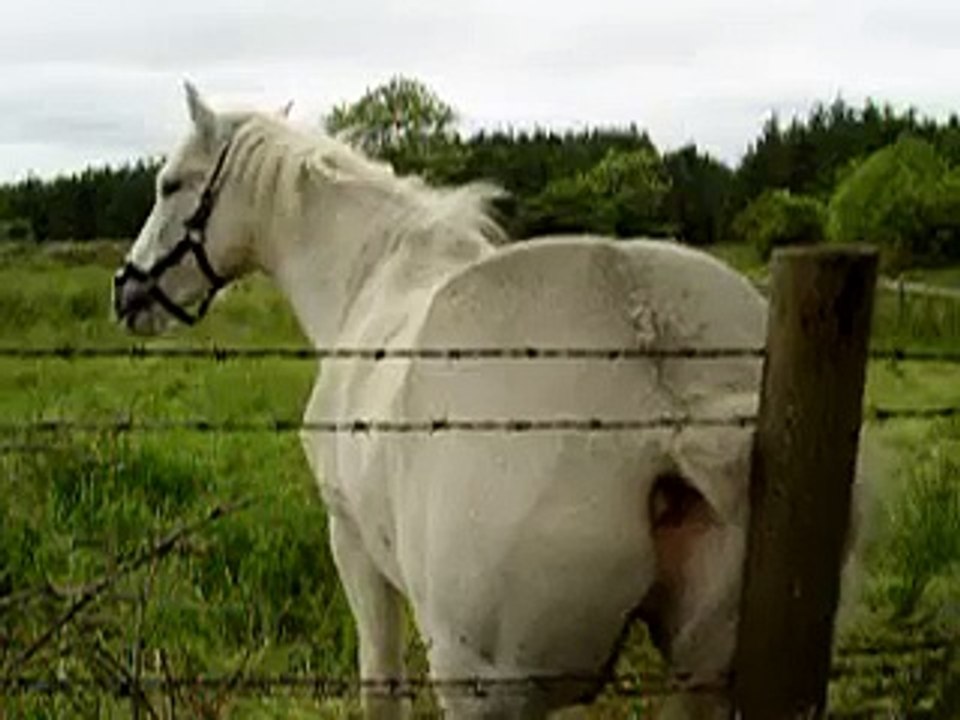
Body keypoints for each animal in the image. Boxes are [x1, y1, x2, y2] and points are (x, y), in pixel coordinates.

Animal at [113, 82, 781, 718]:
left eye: (170, 183)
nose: (126, 291)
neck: (371, 279)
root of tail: (663, 385)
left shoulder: (352, 544)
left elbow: (381, 684)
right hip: (697, 679)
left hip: (481, 687)